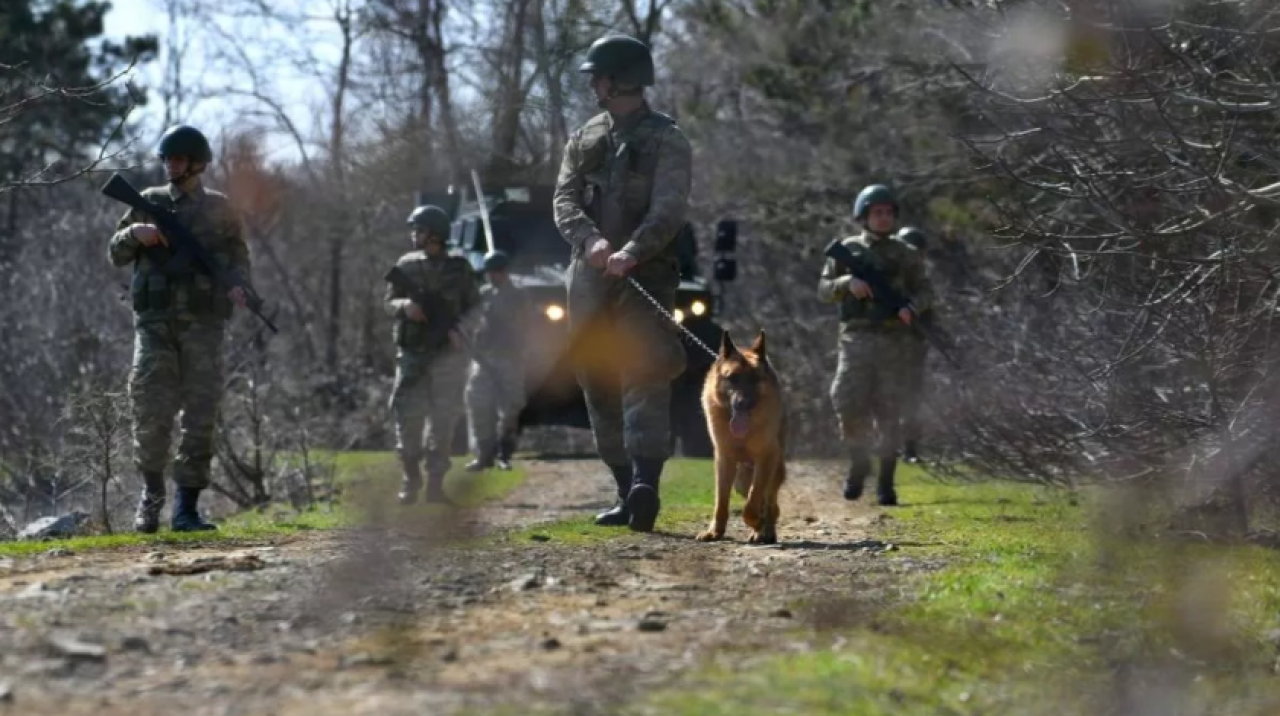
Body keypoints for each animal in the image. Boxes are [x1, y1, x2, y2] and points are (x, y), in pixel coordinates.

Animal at [696, 330, 783, 543]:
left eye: (754, 379)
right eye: (733, 378)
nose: (742, 403)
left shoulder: (766, 458)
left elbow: (753, 502)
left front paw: (758, 523)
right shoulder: (724, 460)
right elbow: (721, 501)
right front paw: (715, 532)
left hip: (773, 470)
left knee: (770, 502)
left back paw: (765, 530)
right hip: (742, 479)